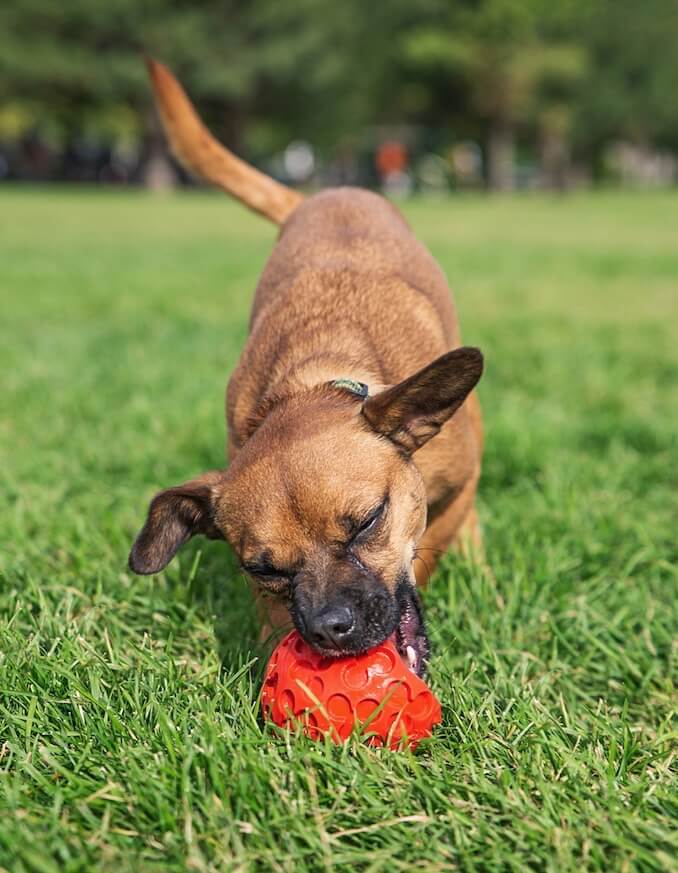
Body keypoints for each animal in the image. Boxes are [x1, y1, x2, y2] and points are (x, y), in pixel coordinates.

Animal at [129, 61, 484, 676]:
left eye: (368, 521)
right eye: (264, 568)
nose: (330, 628)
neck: (312, 380)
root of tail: (316, 196)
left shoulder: (457, 487)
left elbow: (429, 549)